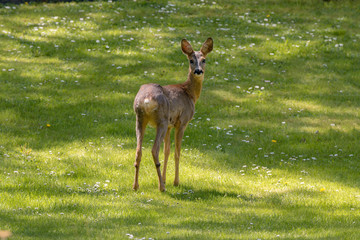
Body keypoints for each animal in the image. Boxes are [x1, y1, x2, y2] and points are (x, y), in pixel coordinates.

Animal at [133, 37, 212, 191]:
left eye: (204, 60)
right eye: (191, 60)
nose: (198, 71)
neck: (189, 93)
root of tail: (146, 99)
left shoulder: (170, 125)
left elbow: (167, 151)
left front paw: (164, 179)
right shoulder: (181, 122)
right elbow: (177, 152)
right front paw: (175, 181)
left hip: (140, 119)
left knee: (139, 150)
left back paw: (136, 185)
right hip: (161, 121)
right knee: (154, 150)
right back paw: (161, 188)